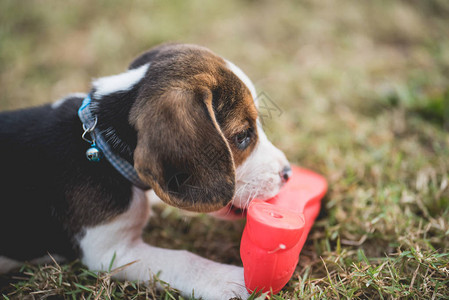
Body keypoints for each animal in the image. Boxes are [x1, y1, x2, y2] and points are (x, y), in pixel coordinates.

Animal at [0, 43, 290, 298]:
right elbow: (183, 260)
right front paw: (229, 280)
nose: (287, 173)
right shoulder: (110, 252)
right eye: (242, 136)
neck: (103, 146)